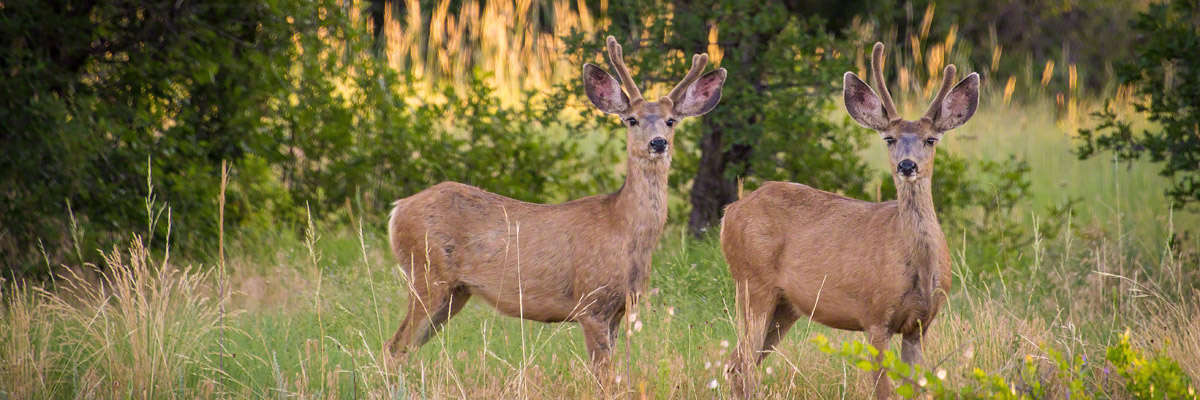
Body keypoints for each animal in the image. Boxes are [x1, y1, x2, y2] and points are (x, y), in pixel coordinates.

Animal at [384, 35, 724, 381]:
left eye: (671, 121)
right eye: (632, 119)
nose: (658, 142)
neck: (623, 229)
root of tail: (398, 209)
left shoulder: (619, 309)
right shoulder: (590, 303)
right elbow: (603, 377)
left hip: (455, 291)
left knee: (404, 347)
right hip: (427, 273)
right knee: (394, 345)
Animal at [715, 42, 979, 396]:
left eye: (931, 139)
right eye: (889, 138)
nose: (907, 165)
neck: (917, 267)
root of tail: (729, 212)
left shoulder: (920, 324)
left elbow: (913, 386)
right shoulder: (875, 314)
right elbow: (883, 390)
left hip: (785, 306)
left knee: (738, 363)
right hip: (751, 283)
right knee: (740, 364)